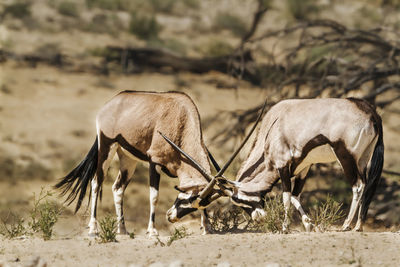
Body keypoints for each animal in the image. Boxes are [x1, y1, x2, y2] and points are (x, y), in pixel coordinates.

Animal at [55, 90, 223, 237]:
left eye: (195, 203)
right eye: (185, 199)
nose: (170, 217)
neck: (181, 118)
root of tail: (112, 102)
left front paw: (207, 228)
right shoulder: (154, 162)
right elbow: (154, 196)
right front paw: (152, 231)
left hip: (128, 159)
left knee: (118, 188)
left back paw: (122, 230)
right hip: (107, 147)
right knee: (96, 182)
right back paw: (93, 229)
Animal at [163, 98, 384, 232]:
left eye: (239, 201)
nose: (259, 218)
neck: (271, 129)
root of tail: (371, 113)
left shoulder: (282, 165)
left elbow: (285, 197)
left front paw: (285, 227)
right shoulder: (303, 168)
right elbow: (295, 197)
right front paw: (309, 225)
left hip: (346, 156)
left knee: (358, 186)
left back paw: (347, 225)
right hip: (363, 158)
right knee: (367, 185)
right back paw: (358, 225)